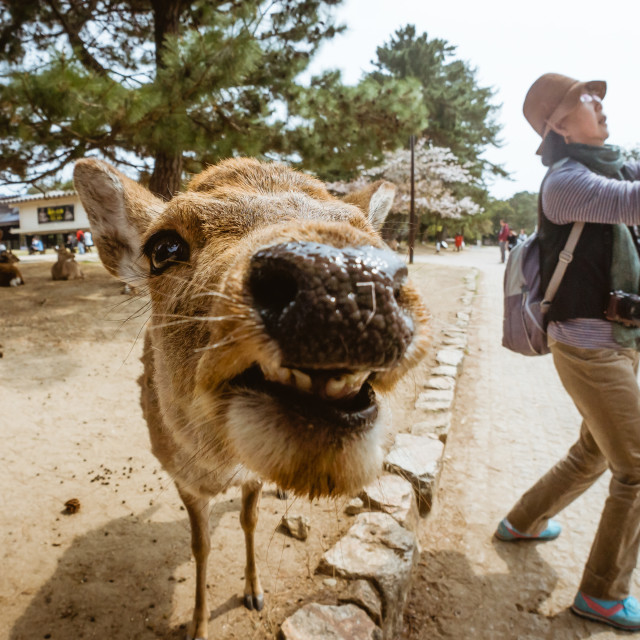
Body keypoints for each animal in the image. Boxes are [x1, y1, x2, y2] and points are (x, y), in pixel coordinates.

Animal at [74, 156, 430, 640]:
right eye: (163, 248)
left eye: (374, 236)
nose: (339, 273)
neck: (222, 465)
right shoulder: (182, 477)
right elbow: (200, 544)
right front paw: (198, 624)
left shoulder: (252, 477)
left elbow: (249, 521)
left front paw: (255, 592)